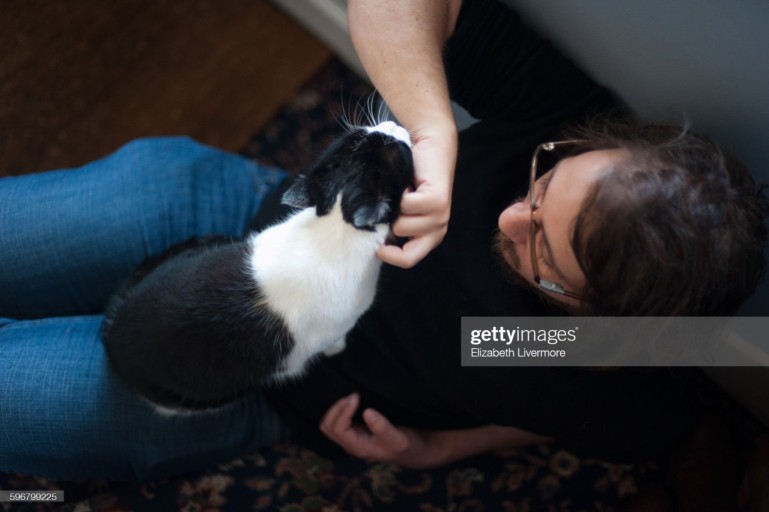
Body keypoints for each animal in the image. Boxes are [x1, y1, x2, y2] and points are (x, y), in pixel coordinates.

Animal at [103, 119, 414, 412]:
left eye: (361, 135)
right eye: (394, 147)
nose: (392, 123)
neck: (334, 223)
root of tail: (112, 335)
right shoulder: (338, 325)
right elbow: (334, 341)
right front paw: (338, 349)